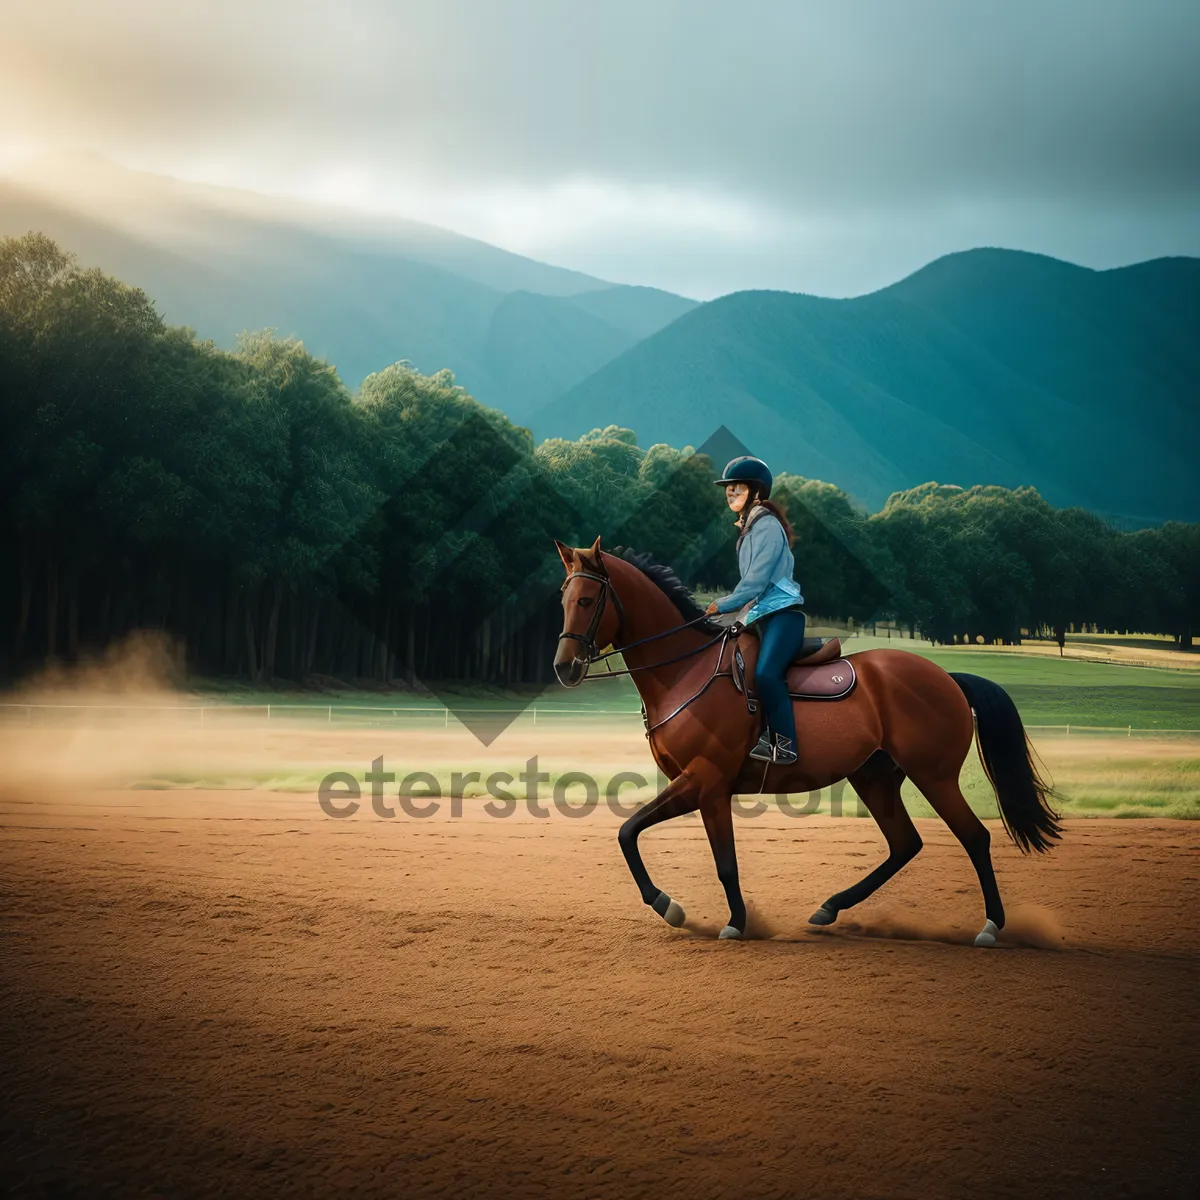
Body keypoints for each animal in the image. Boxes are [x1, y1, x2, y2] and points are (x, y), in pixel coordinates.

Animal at [552, 535, 1060, 945]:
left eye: (588, 599)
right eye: (564, 598)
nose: (563, 667)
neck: (685, 671)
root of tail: (947, 678)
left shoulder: (707, 783)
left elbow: (698, 853)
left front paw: (708, 916)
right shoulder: (698, 786)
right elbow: (632, 833)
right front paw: (684, 909)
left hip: (933, 776)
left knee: (974, 837)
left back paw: (991, 927)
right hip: (874, 778)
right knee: (905, 844)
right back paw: (831, 908)